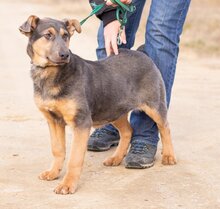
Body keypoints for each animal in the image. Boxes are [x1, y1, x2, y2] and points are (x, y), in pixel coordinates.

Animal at [19, 15, 177, 195]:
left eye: (66, 36)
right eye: (48, 35)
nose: (65, 55)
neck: (51, 74)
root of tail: (143, 54)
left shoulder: (81, 123)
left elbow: (74, 158)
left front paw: (68, 184)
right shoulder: (53, 121)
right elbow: (57, 150)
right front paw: (53, 173)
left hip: (154, 104)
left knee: (165, 127)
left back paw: (169, 156)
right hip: (114, 109)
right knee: (127, 131)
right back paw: (116, 158)